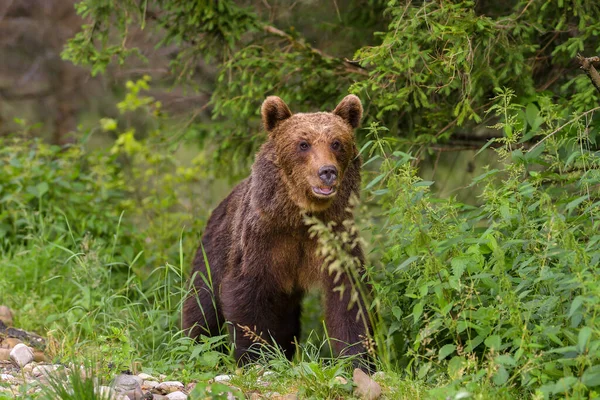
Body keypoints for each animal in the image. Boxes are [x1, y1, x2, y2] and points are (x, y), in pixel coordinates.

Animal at [180, 94, 372, 368]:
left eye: (336, 143)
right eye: (303, 144)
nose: (327, 172)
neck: (300, 219)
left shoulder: (335, 240)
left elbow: (349, 298)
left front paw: (357, 359)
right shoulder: (262, 240)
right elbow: (246, 296)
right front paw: (255, 356)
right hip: (215, 247)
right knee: (201, 299)